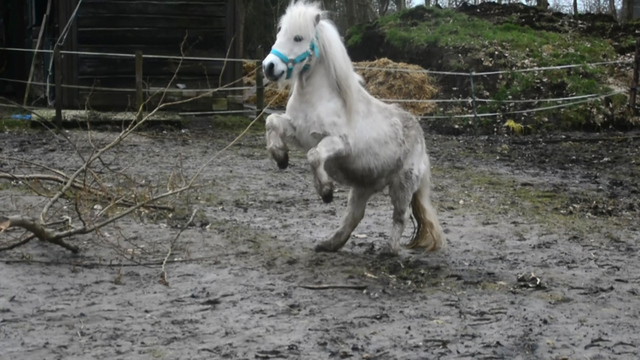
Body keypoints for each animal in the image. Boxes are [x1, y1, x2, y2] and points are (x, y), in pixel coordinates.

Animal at [260, 0, 444, 255]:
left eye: (298, 37)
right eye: (279, 33)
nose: (269, 66)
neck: (317, 98)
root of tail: (420, 135)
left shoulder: (338, 143)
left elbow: (314, 155)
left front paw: (326, 191)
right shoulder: (298, 132)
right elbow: (272, 122)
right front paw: (280, 157)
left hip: (403, 184)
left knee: (401, 214)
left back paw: (389, 249)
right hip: (362, 186)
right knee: (354, 215)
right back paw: (329, 244)